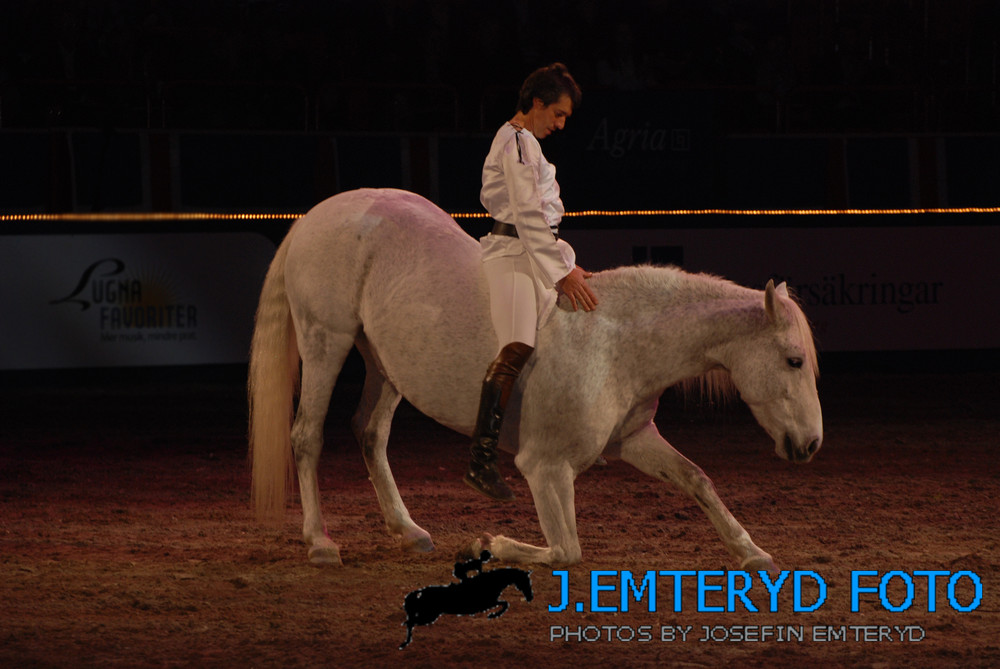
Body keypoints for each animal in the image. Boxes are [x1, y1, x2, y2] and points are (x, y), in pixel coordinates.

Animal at [248, 187, 820, 568]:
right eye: (794, 361)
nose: (811, 445)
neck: (615, 341)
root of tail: (323, 211)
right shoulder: (545, 468)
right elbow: (567, 551)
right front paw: (492, 544)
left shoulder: (634, 439)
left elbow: (697, 479)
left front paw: (752, 552)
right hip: (326, 340)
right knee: (307, 436)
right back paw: (320, 543)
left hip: (386, 363)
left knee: (370, 433)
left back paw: (408, 531)